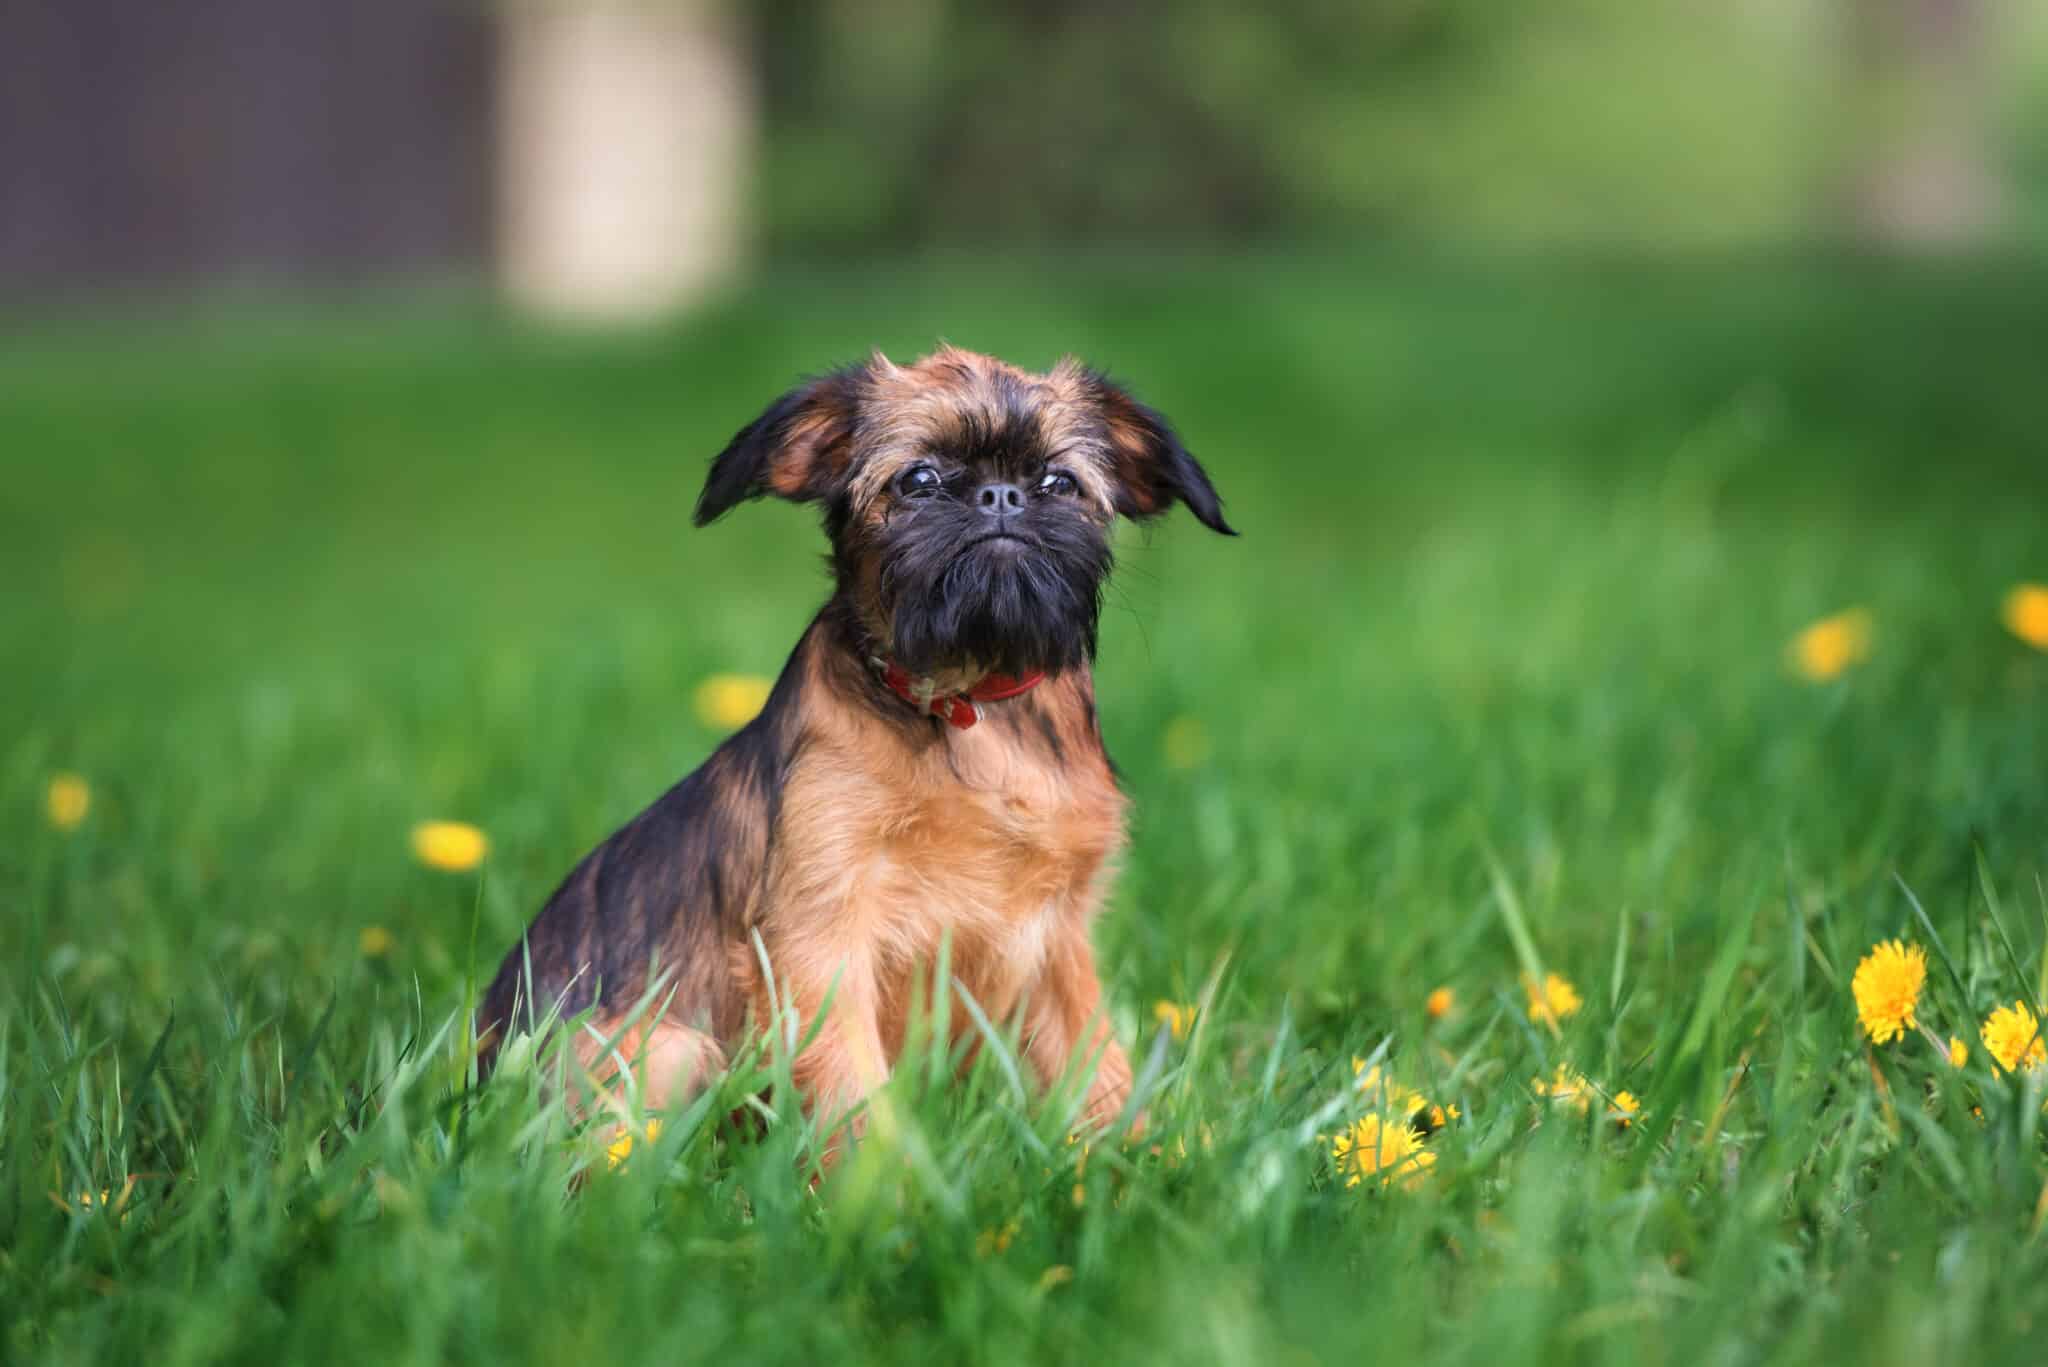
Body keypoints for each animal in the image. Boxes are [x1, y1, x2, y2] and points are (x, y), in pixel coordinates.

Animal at [479, 344, 1228, 1155]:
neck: (969, 708)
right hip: (671, 1046)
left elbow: (1100, 1070)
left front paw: (1148, 1161)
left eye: (1060, 482)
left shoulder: (1058, 945)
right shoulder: (822, 937)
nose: (1000, 495)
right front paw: (883, 1185)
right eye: (919, 479)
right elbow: (850, 1088)